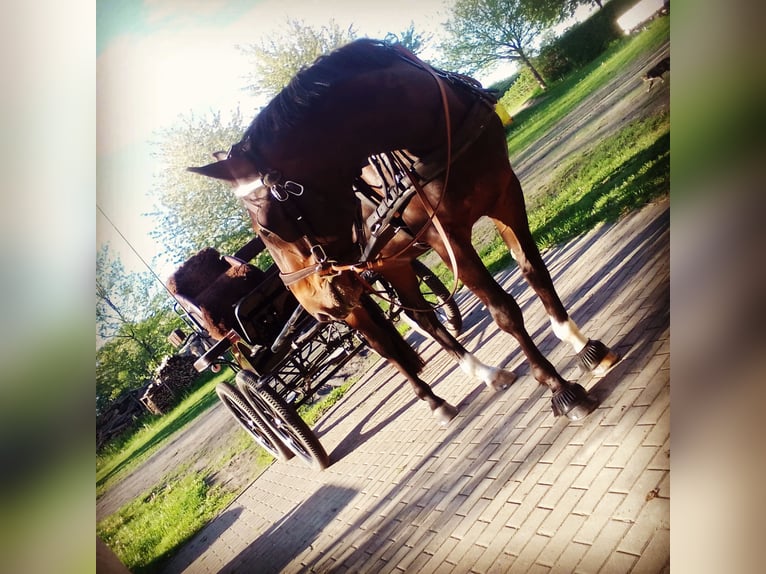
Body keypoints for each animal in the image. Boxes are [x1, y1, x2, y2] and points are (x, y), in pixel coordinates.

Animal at [189, 38, 620, 426]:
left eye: (265, 226)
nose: (309, 299)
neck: (431, 128)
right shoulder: (447, 239)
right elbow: (504, 312)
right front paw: (559, 388)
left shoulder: (505, 197)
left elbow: (535, 272)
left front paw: (584, 347)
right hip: (356, 302)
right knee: (387, 349)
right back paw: (436, 401)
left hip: (386, 266)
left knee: (423, 319)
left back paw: (485, 373)